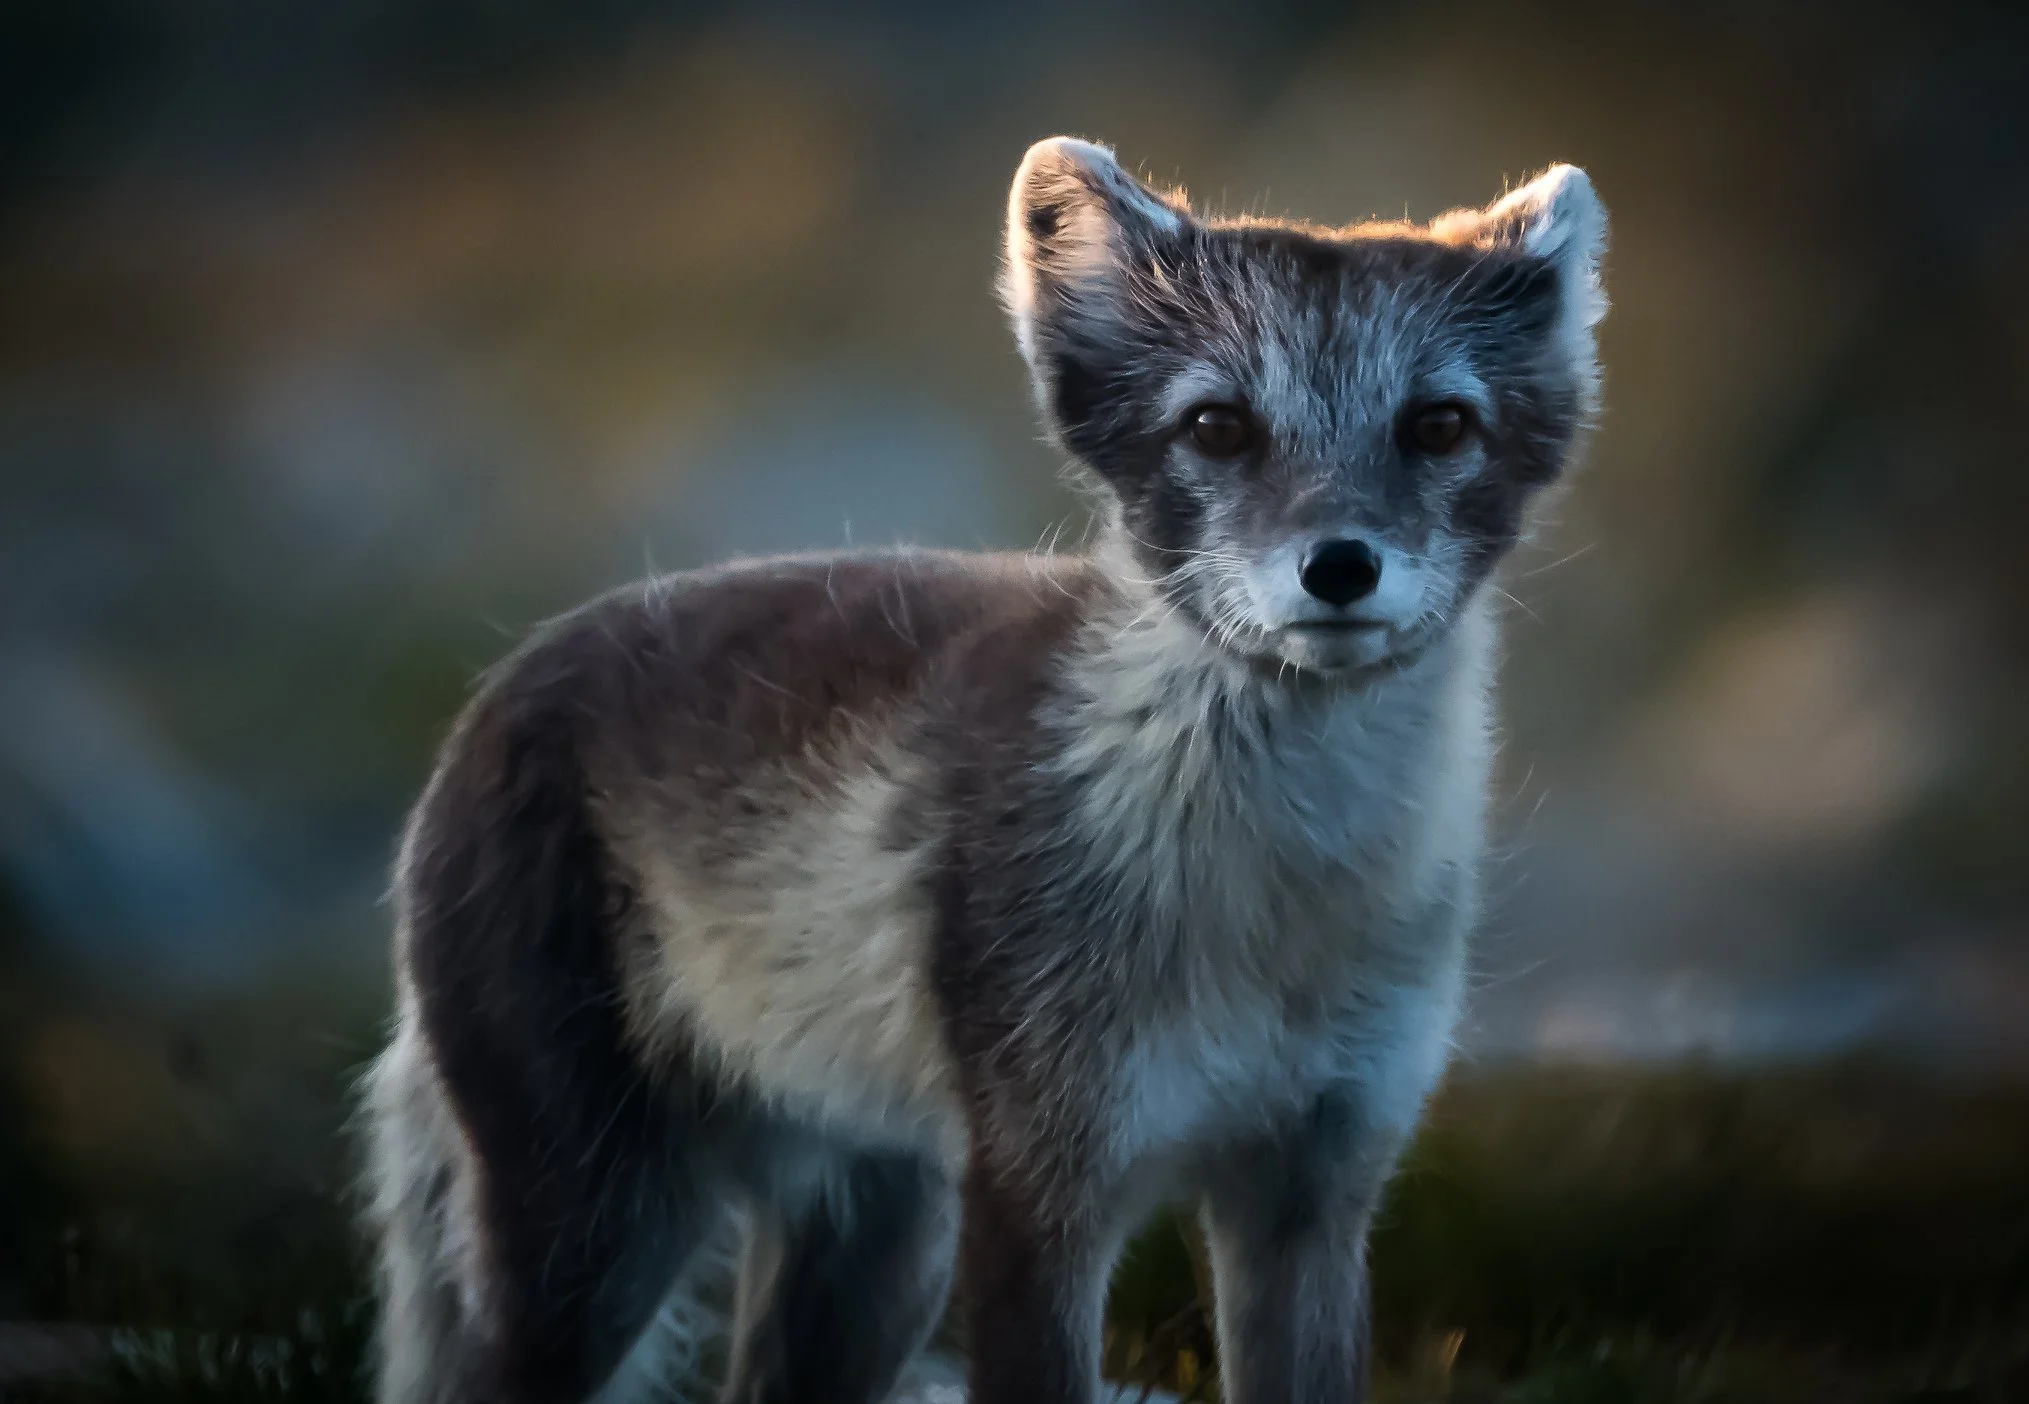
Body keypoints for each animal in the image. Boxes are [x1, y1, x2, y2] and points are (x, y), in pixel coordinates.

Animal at [360, 136, 1608, 1404]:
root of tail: (504, 680)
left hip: (876, 1242)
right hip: (603, 1224)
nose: (1340, 566)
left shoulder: (1317, 1185)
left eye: (1439, 426)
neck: (1276, 918)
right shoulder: (1035, 1188)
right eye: (1216, 427)